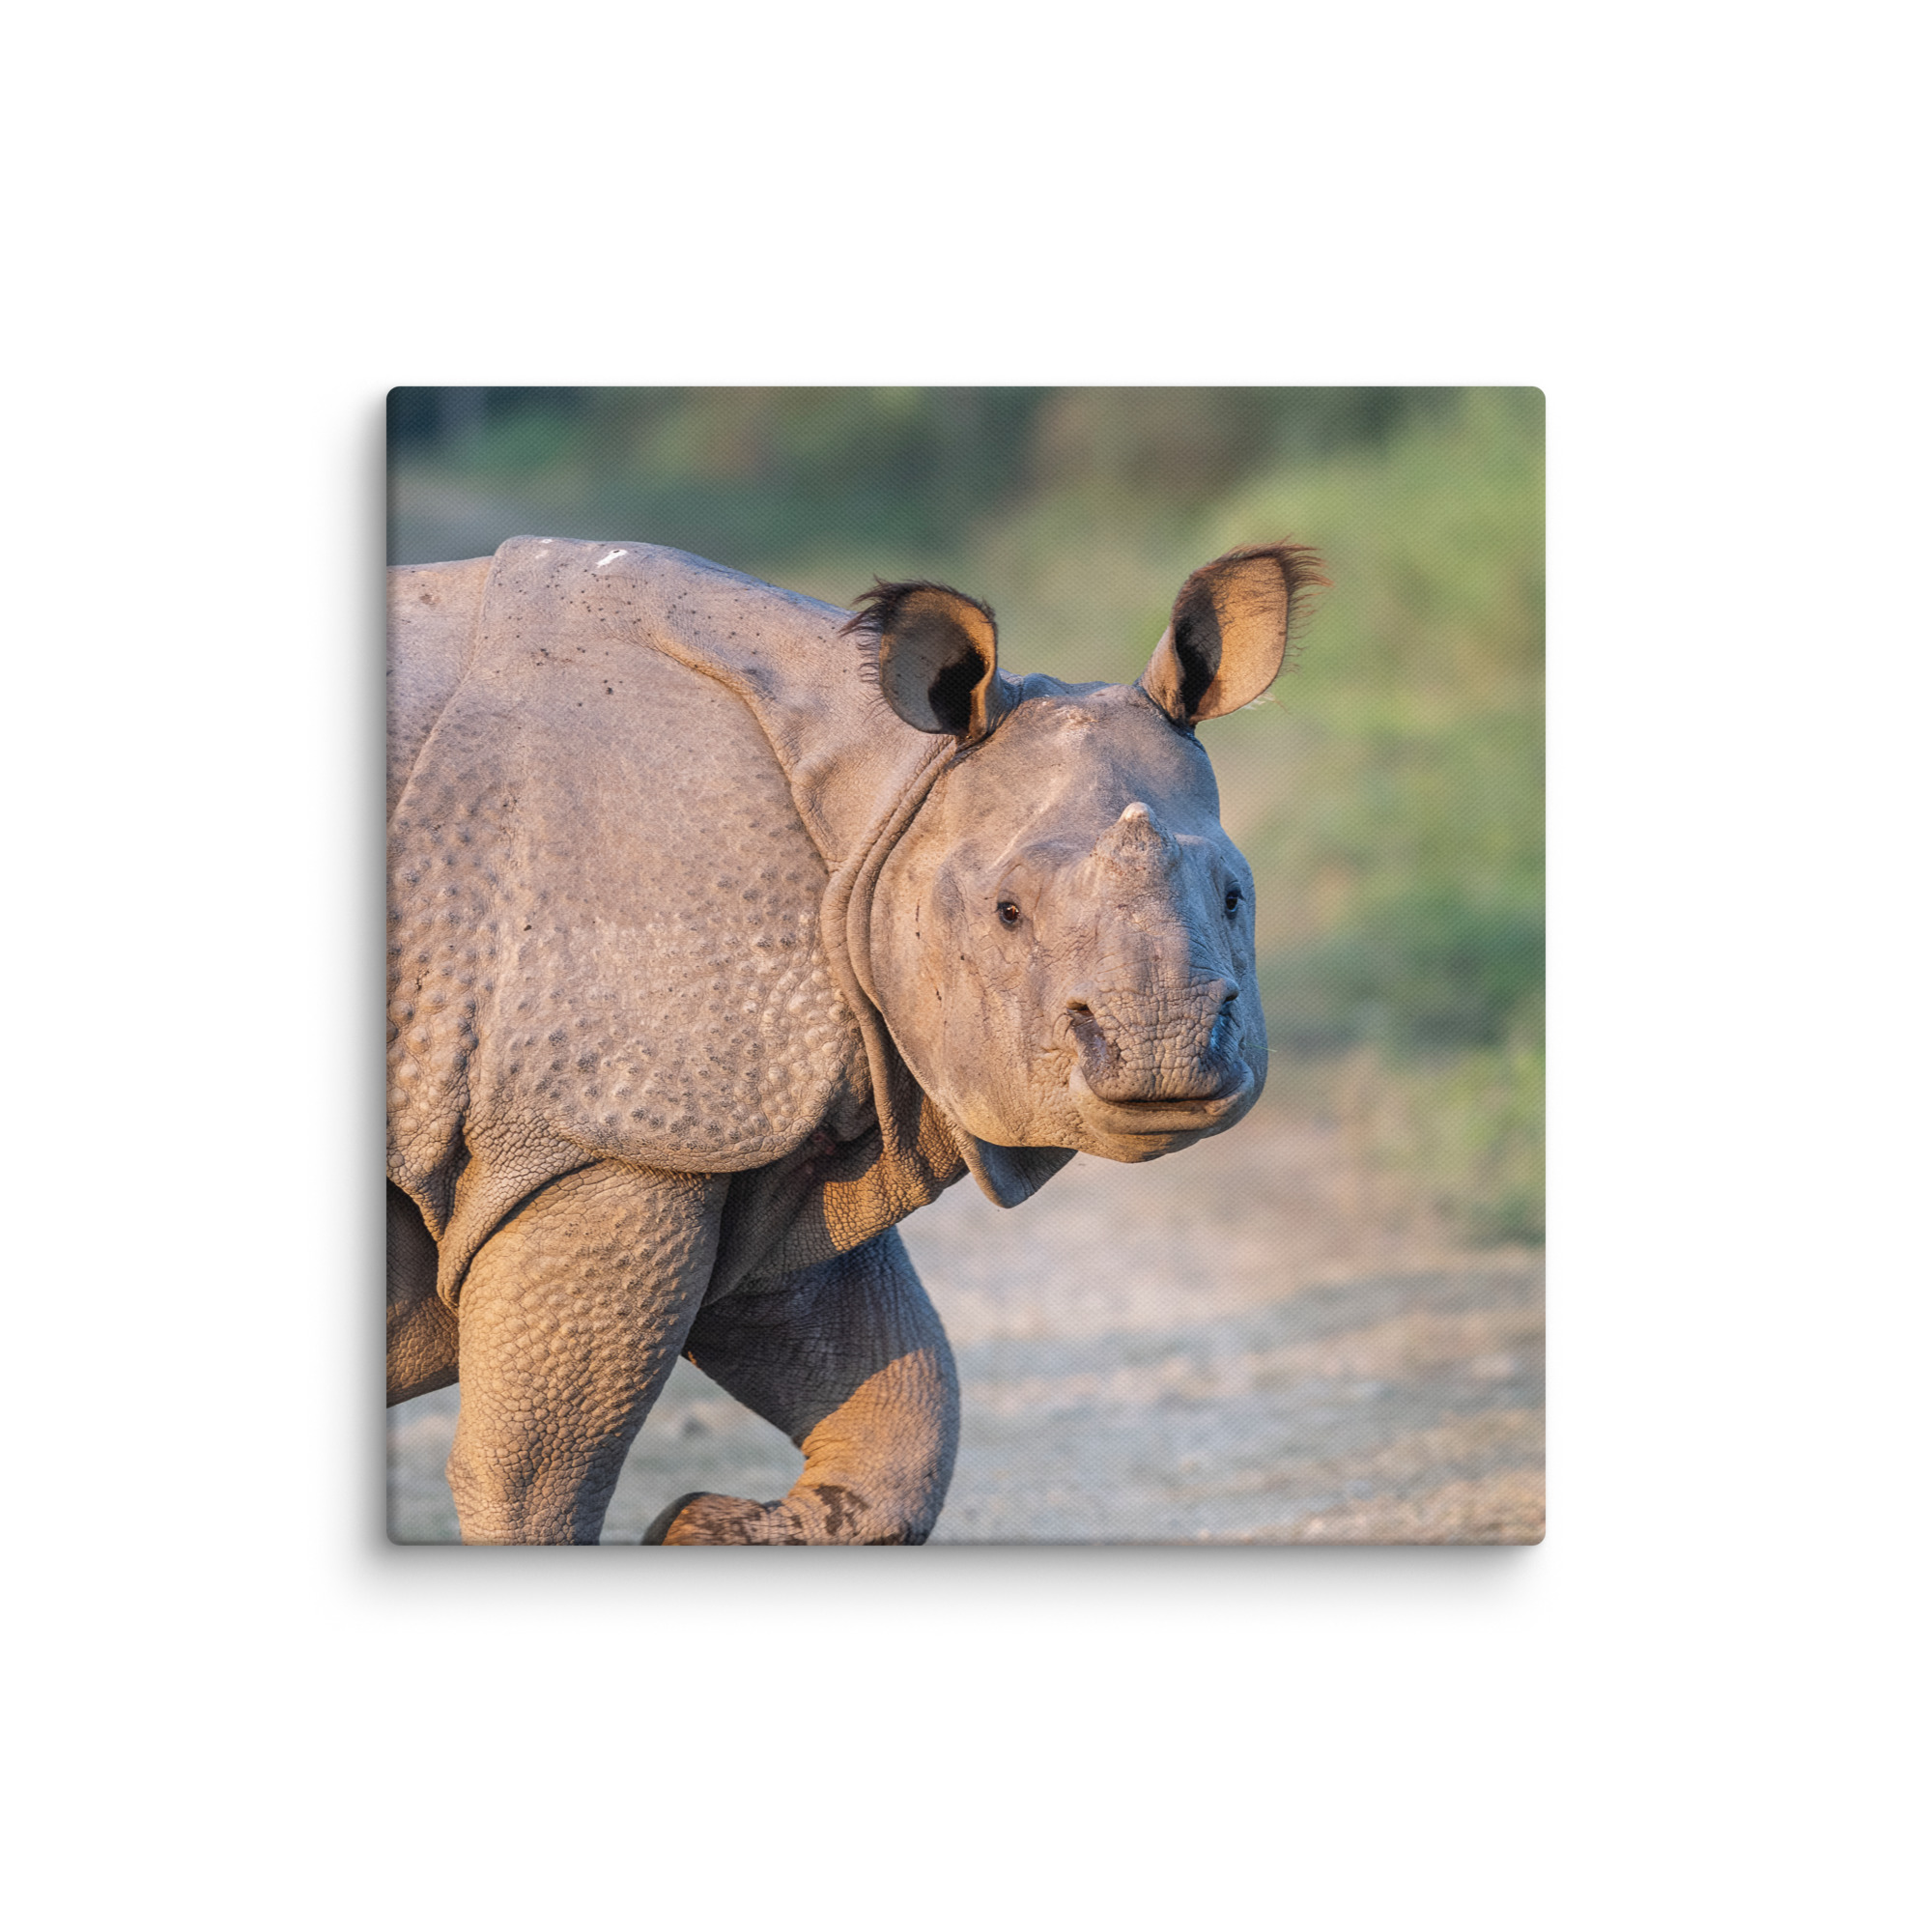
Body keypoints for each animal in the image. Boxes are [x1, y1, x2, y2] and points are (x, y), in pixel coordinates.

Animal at [388, 533, 1321, 1543]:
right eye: (1007, 913)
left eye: (1234, 898)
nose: (1163, 1051)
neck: (888, 797)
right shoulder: (608, 1136)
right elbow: (538, 1473)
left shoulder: (742, 1134)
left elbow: (898, 1401)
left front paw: (702, 1525)